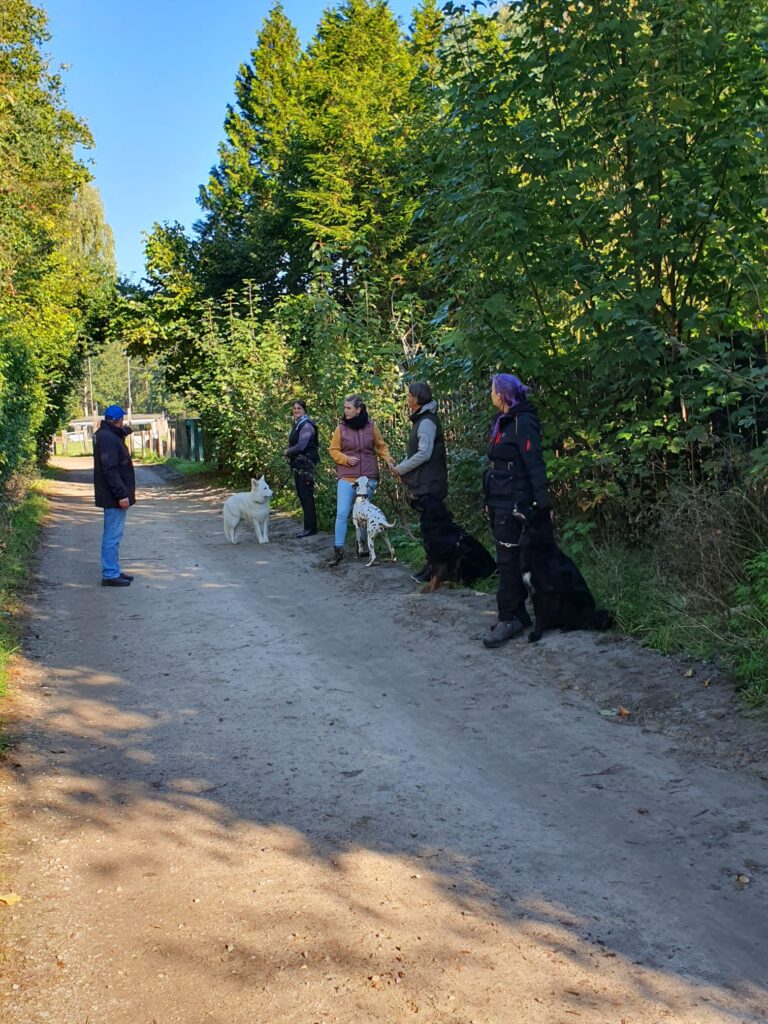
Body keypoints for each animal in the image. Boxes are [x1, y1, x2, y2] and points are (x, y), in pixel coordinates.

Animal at [516, 507, 613, 643]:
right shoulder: (533, 591)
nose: (515, 504)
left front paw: (537, 634)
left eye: (530, 507)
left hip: (573, 598)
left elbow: (540, 614)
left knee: (580, 623)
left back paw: (568, 627)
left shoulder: (544, 591)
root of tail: (591, 616)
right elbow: (538, 612)